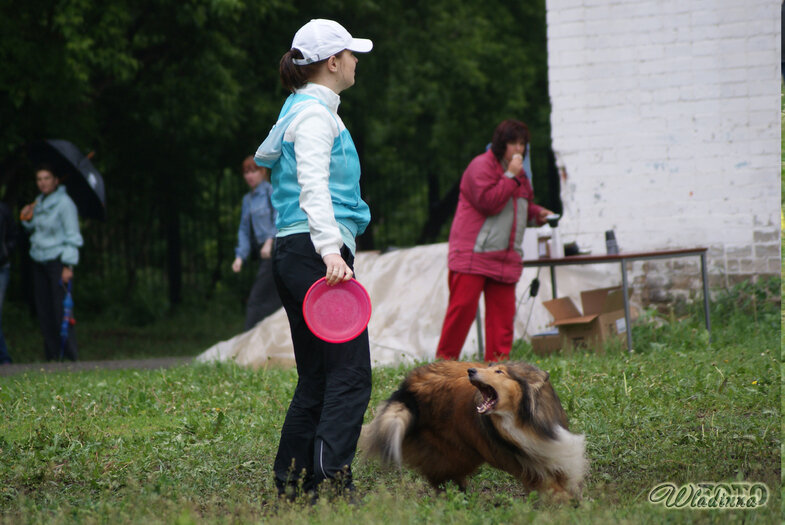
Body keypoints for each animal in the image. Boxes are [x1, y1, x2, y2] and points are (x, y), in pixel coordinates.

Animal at [358, 360, 584, 500]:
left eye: (499, 371)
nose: (471, 371)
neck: (520, 420)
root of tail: (408, 391)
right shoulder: (525, 461)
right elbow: (548, 483)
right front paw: (564, 501)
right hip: (454, 452)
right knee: (440, 475)